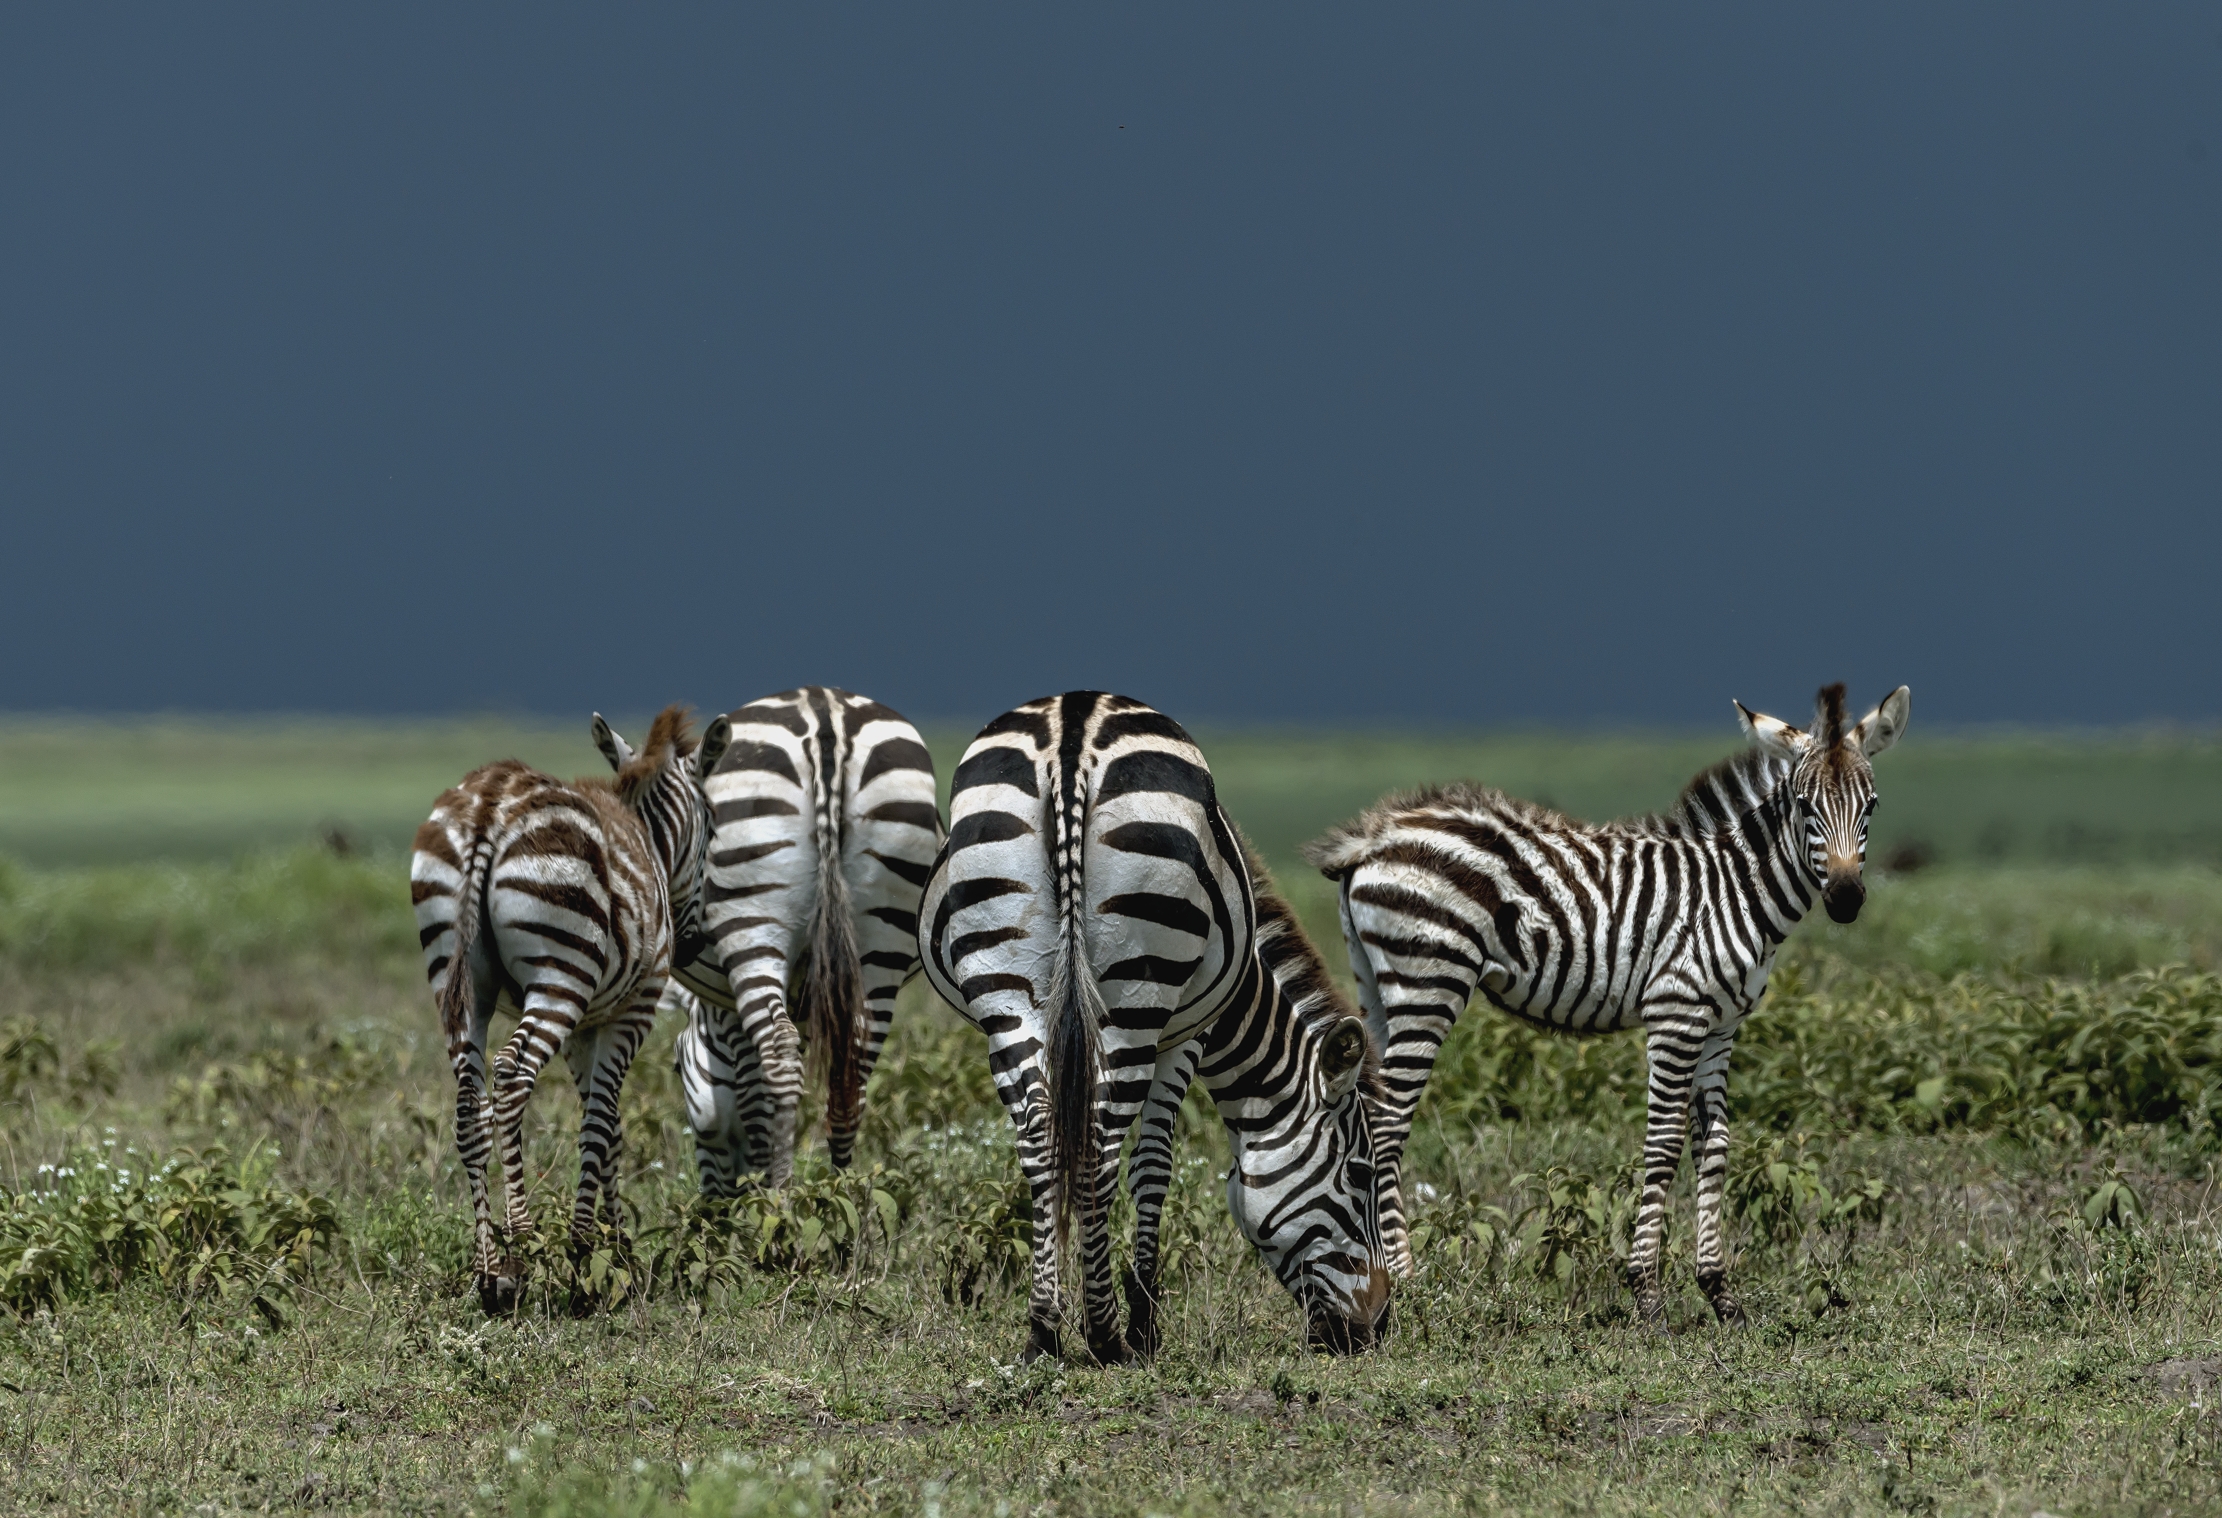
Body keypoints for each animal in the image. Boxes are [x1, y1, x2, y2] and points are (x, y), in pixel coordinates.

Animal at [410, 706, 730, 1314]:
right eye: (714, 827)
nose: (693, 946)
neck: (650, 842)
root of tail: (489, 803)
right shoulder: (633, 1009)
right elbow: (601, 1123)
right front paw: (589, 1254)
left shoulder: (588, 1026)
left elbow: (611, 1129)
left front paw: (616, 1245)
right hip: (561, 970)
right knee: (511, 1077)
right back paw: (521, 1249)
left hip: (456, 979)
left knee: (468, 1103)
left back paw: (489, 1271)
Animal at [667, 688, 941, 1191]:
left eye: (677, 1067)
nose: (715, 1200)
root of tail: (825, 715)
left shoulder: (732, 1012)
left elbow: (755, 1099)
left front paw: (760, 1184)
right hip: (881, 929)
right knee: (852, 1071)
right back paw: (842, 1200)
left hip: (752, 919)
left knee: (781, 1057)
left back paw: (780, 1202)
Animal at [920, 692, 1388, 1363]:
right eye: (1360, 1175)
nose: (1375, 1327)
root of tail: (1071, 731)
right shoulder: (1187, 1035)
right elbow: (1154, 1163)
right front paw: (1144, 1320)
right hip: (1141, 983)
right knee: (1099, 1143)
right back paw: (1107, 1333)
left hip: (1003, 985)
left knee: (1039, 1138)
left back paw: (1043, 1330)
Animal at [1303, 682, 1909, 1326]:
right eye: (1803, 805)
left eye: (1872, 806)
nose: (1845, 898)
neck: (1734, 892)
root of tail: (1376, 834)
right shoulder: (1677, 1013)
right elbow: (1664, 1143)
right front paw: (1648, 1296)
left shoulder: (1721, 1026)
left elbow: (1715, 1146)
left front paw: (1720, 1293)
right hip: (1428, 984)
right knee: (1387, 1121)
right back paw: (1403, 1279)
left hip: (1377, 986)